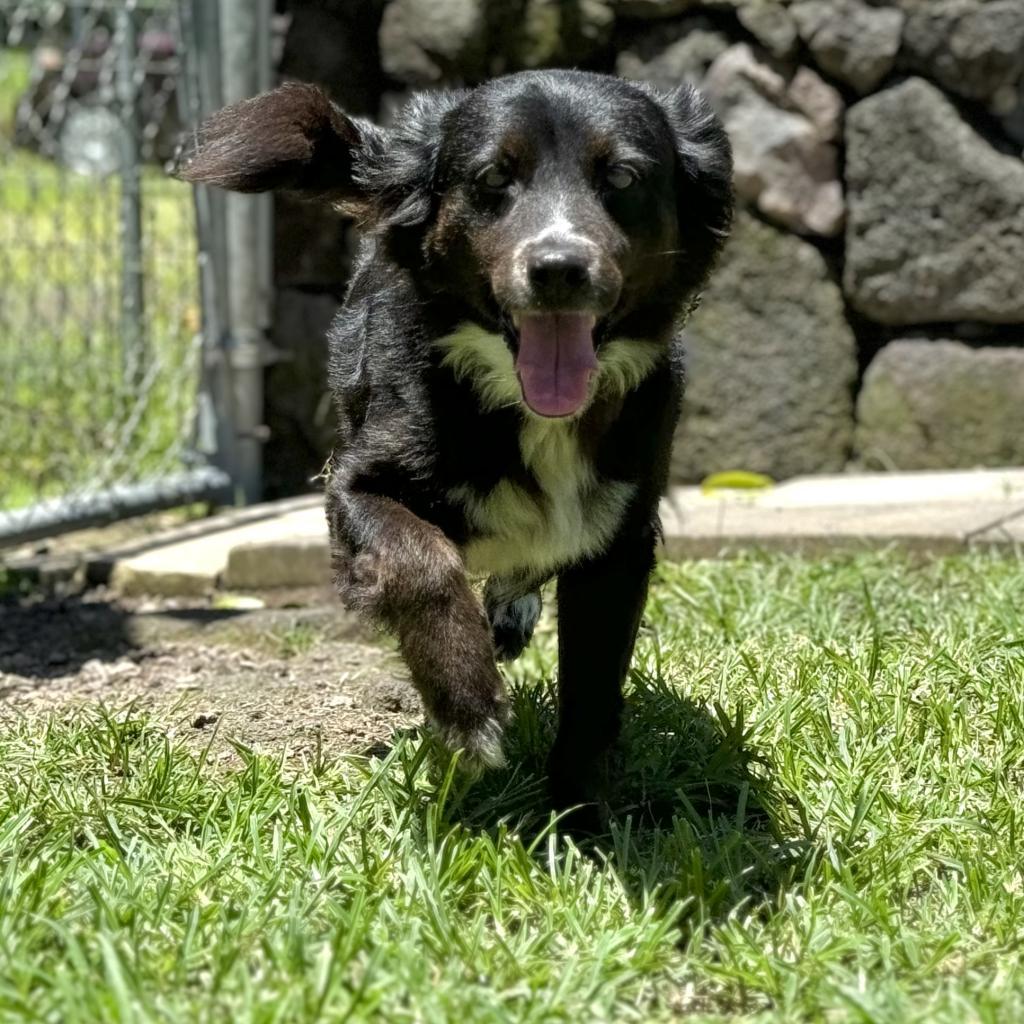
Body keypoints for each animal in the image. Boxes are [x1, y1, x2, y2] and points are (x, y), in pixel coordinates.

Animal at [180, 70, 733, 815]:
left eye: (621, 175)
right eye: (493, 176)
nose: (558, 268)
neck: (524, 407)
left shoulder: (621, 529)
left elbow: (594, 679)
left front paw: (579, 814)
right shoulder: (357, 483)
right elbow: (423, 562)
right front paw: (468, 710)